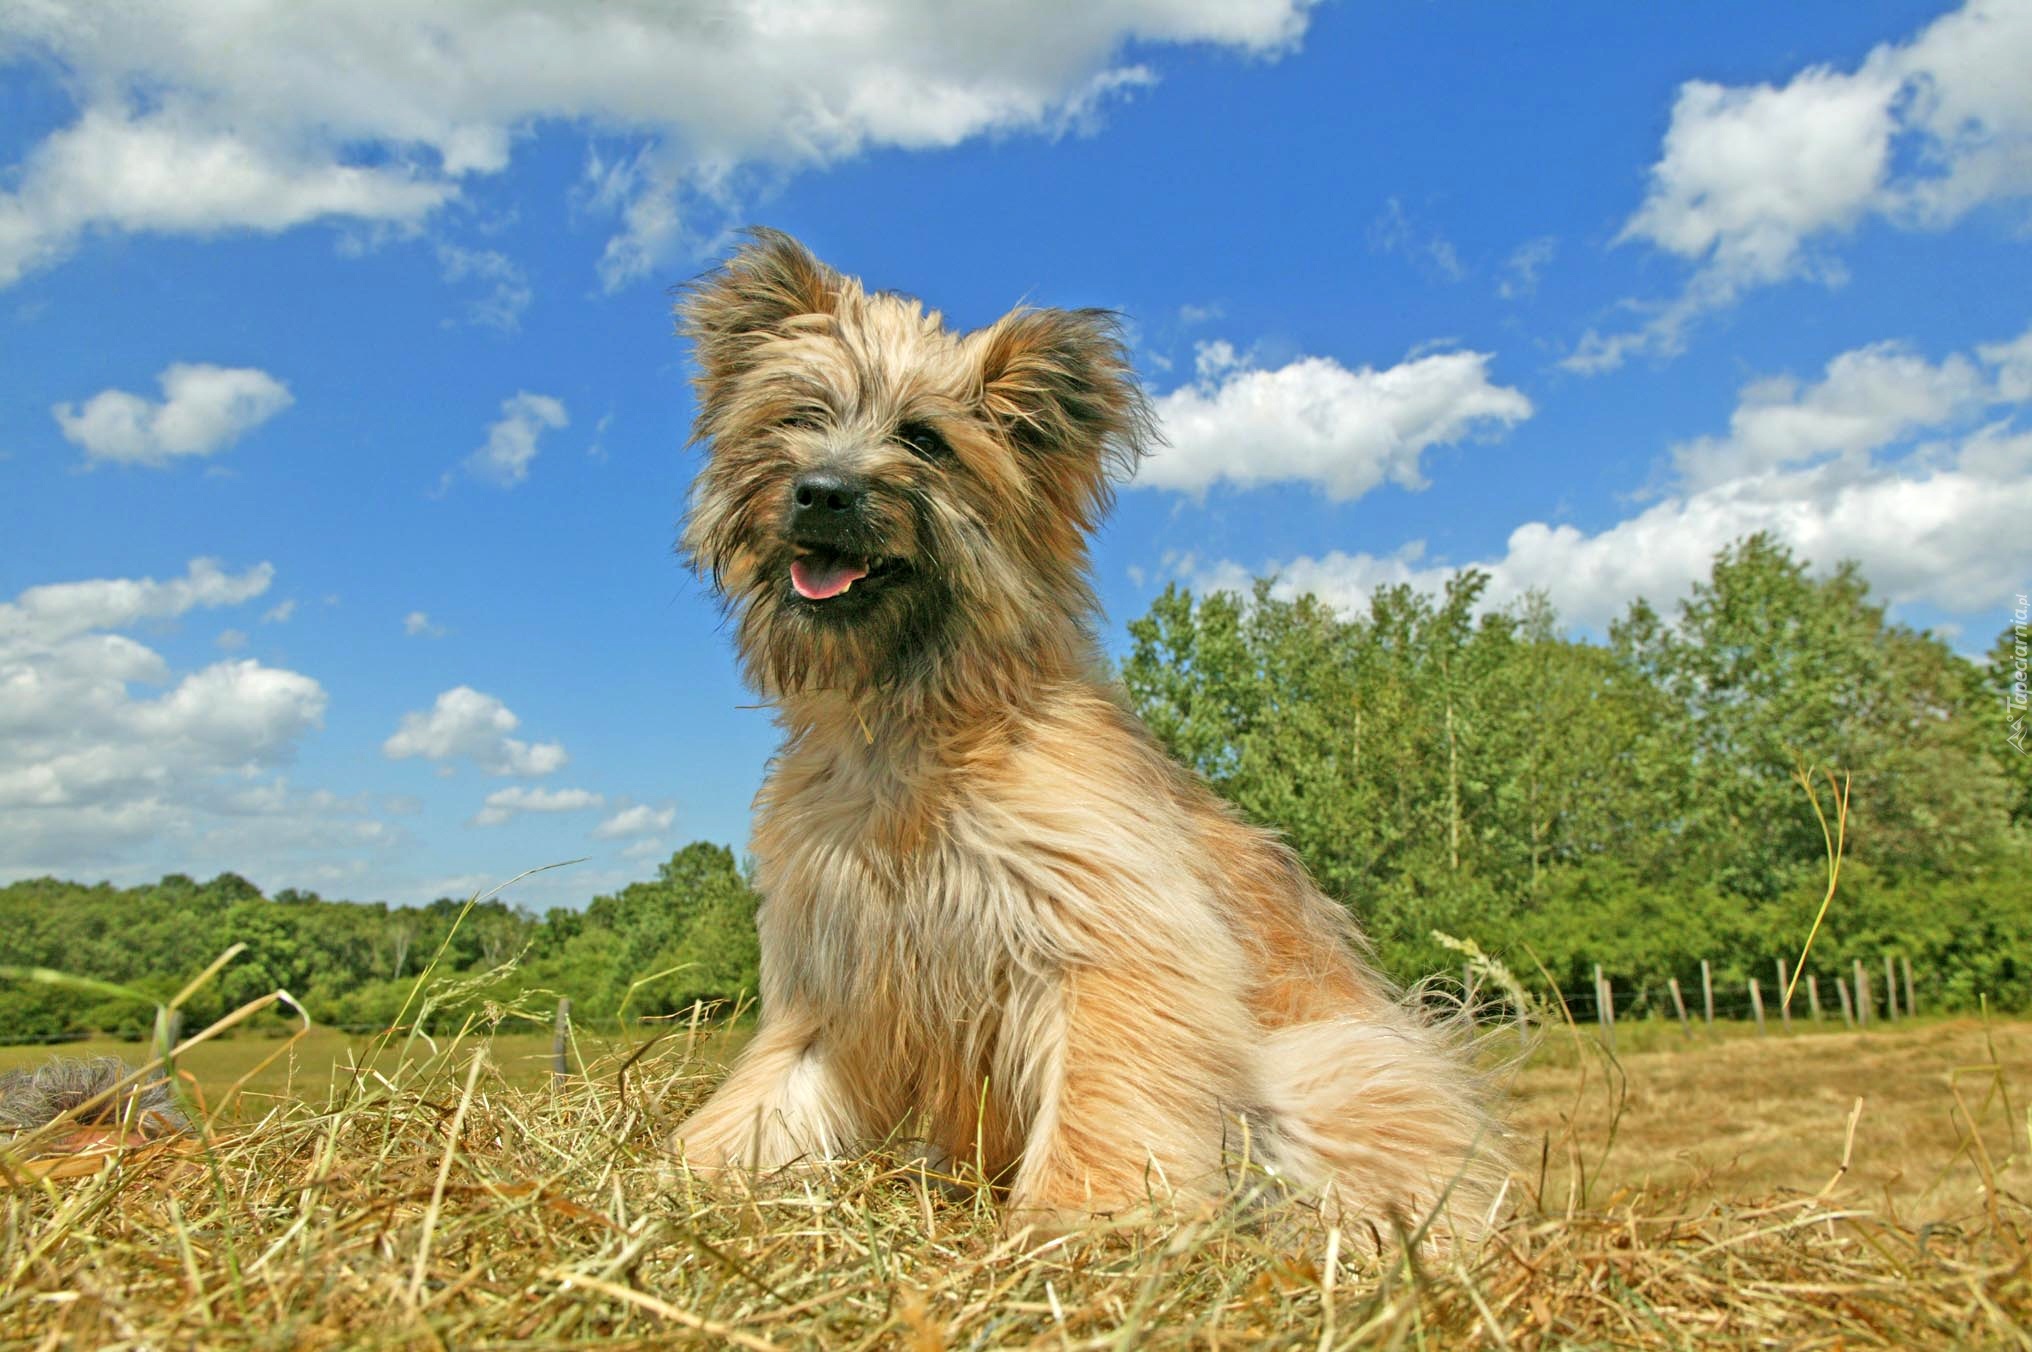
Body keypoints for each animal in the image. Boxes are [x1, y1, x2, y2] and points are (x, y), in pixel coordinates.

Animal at [674, 229, 1503, 1236]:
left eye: (924, 439)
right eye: (800, 414)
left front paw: (1077, 1223)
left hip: (1332, 1070)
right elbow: (767, 1099)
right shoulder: (839, 986)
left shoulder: (1109, 945)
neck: (918, 729)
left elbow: (1103, 1102)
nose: (822, 492)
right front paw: (686, 1174)